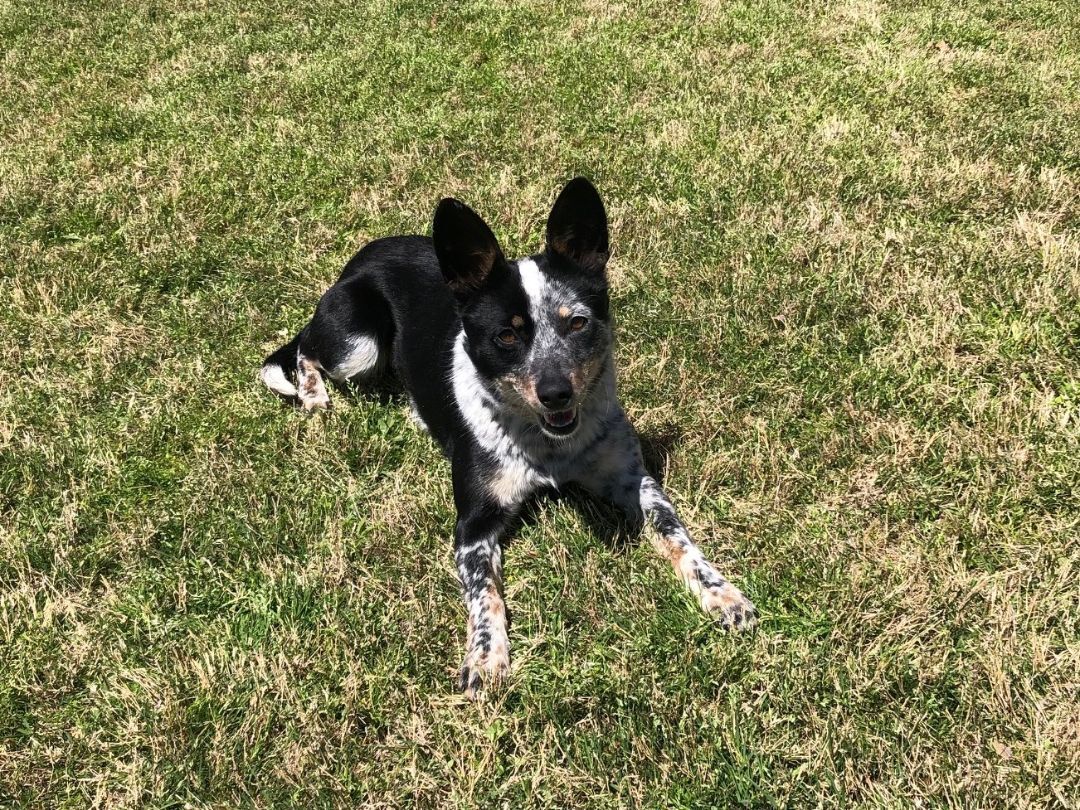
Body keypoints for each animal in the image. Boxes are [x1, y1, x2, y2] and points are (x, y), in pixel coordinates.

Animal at [258, 180, 756, 699]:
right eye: (506, 336)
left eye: (578, 322)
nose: (556, 392)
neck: (549, 446)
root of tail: (361, 258)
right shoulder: (474, 525)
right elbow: (485, 595)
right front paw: (485, 656)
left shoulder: (634, 481)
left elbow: (677, 534)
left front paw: (720, 592)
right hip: (358, 344)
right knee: (306, 348)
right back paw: (313, 395)